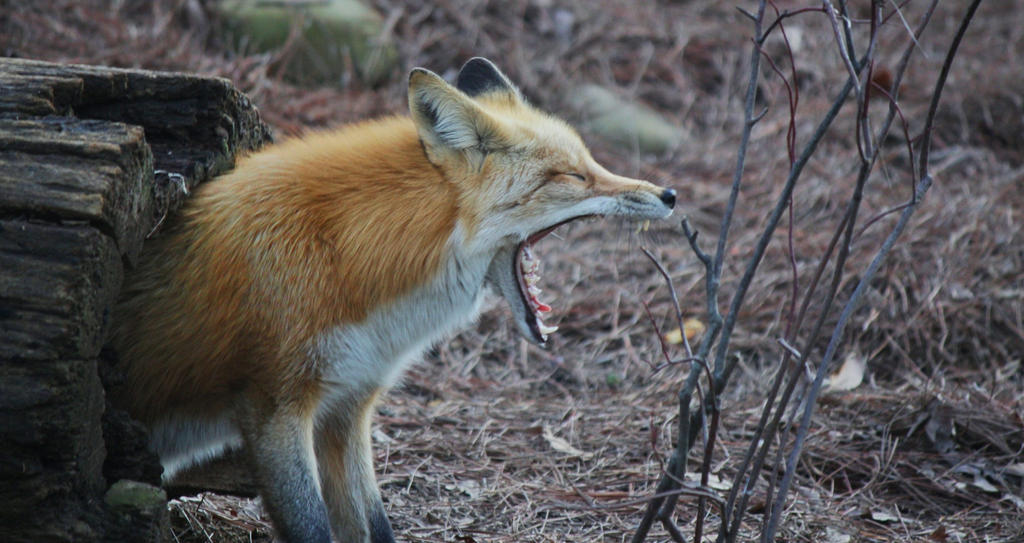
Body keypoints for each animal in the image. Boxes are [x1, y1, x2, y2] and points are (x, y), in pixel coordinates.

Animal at [112, 58, 675, 540]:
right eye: (572, 175)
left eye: (591, 161)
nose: (669, 195)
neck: (346, 257)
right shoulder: (275, 407)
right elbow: (311, 527)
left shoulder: (348, 405)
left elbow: (374, 525)